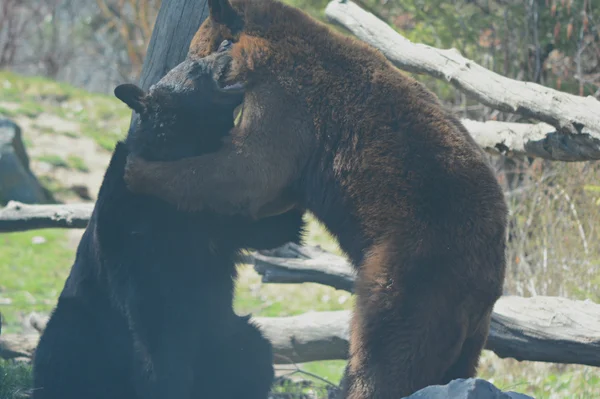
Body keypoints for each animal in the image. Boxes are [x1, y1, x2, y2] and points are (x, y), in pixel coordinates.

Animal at [31, 57, 304, 399]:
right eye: (196, 65)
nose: (227, 47)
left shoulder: (219, 208)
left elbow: (269, 228)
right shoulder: (132, 214)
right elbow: (154, 305)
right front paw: (163, 380)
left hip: (224, 333)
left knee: (251, 352)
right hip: (84, 319)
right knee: (65, 349)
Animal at [124, 0, 508, 398]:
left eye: (193, 53)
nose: (185, 63)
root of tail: (491, 279)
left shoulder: (288, 99)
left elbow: (249, 170)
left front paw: (138, 169)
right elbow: (270, 188)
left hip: (416, 270)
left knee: (387, 351)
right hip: (468, 329)